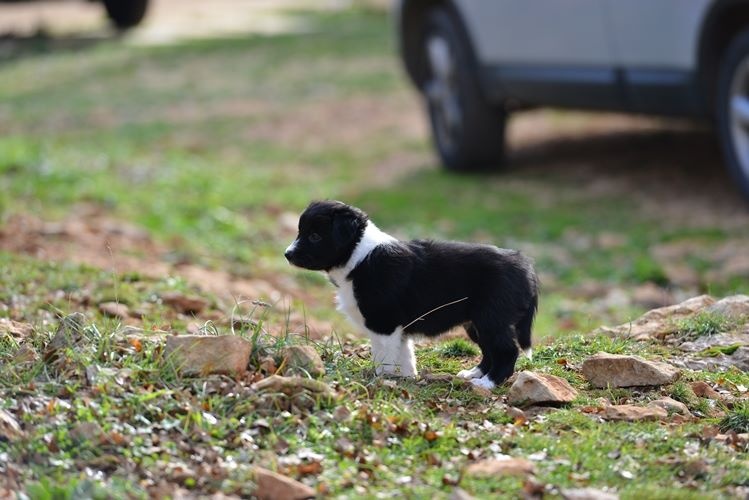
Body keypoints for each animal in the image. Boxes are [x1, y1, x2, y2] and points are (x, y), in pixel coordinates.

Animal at [284, 201, 536, 388]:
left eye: (315, 236)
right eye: (300, 232)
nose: (287, 254)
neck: (359, 256)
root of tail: (524, 266)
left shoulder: (383, 323)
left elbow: (383, 356)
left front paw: (381, 379)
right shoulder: (398, 327)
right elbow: (405, 354)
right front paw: (408, 377)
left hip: (491, 318)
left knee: (506, 351)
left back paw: (488, 383)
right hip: (475, 322)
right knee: (489, 350)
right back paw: (474, 373)